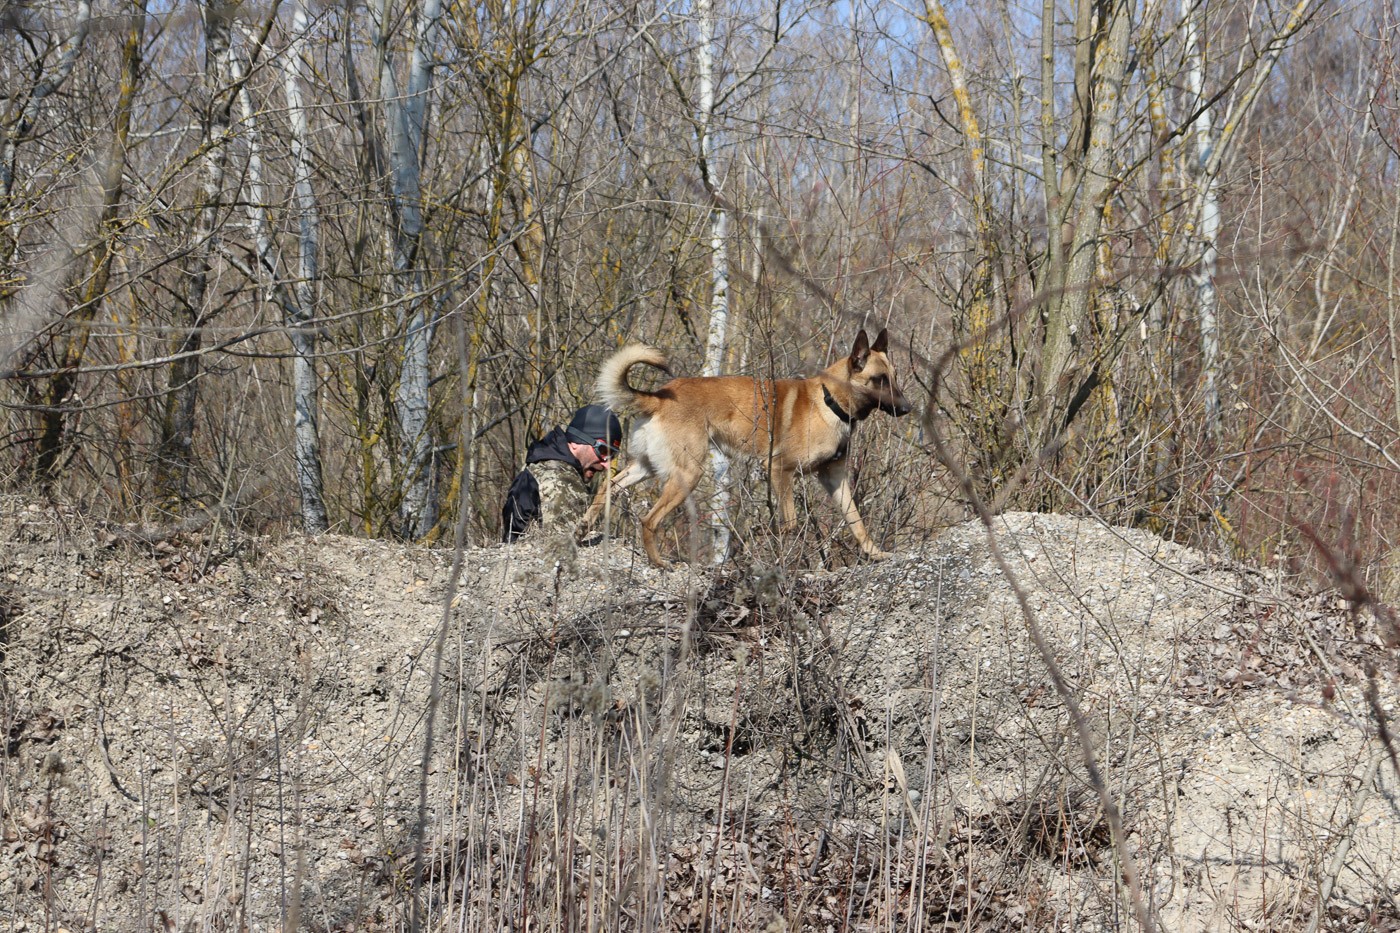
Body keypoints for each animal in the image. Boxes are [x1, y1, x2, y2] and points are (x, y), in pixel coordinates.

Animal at [583, 329, 912, 568]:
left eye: (895, 378)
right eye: (879, 380)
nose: (909, 409)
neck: (830, 401)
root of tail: (659, 397)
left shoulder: (835, 478)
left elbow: (857, 522)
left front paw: (875, 553)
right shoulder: (780, 470)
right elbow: (790, 523)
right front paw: (762, 540)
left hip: (648, 467)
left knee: (610, 486)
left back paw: (585, 525)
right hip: (687, 475)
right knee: (648, 520)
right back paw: (658, 562)